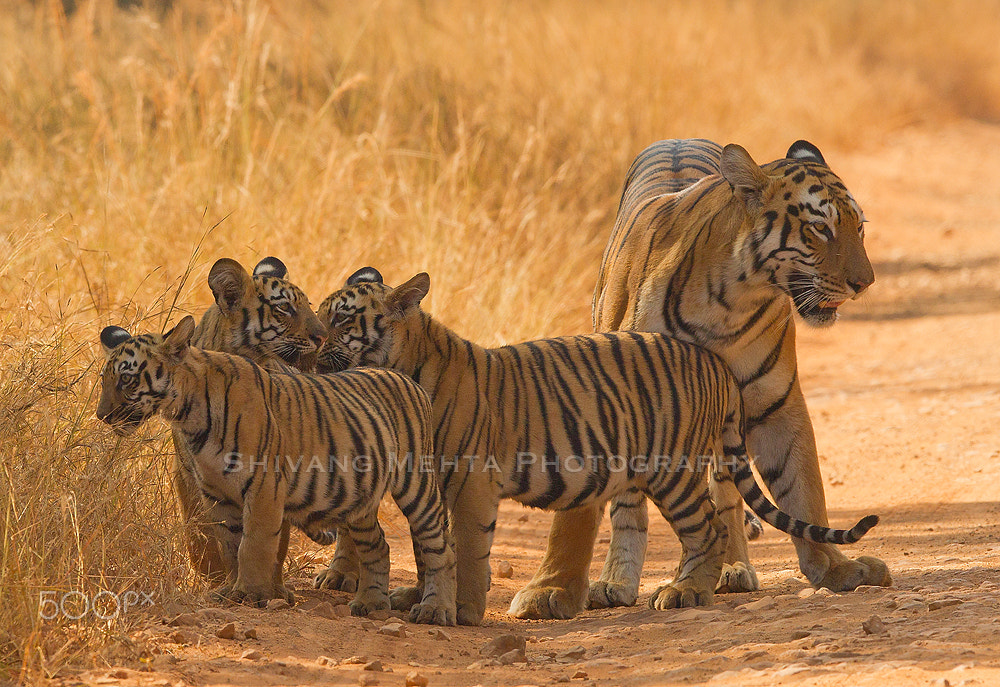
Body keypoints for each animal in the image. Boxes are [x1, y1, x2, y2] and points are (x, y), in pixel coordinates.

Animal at [97, 316, 457, 625]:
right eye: (104, 379)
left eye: (126, 379)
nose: (101, 416)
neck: (188, 414)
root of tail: (407, 379)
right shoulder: (218, 494)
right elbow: (230, 547)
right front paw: (231, 590)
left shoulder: (263, 486)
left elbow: (254, 544)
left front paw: (251, 594)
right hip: (360, 498)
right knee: (378, 545)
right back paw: (372, 603)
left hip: (417, 484)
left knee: (439, 548)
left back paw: (435, 610)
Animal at [171, 257, 329, 585]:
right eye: (285, 308)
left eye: (308, 305)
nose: (323, 337)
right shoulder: (191, 472)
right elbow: (204, 529)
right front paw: (214, 576)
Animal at [312, 268, 877, 625]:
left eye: (341, 320)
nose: (312, 346)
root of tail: (716, 364)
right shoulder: (436, 484)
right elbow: (434, 548)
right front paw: (424, 597)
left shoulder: (471, 481)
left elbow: (467, 548)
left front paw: (459, 613)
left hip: (673, 469)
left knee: (709, 530)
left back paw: (686, 592)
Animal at [509, 138, 892, 622]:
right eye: (820, 228)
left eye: (859, 228)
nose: (865, 283)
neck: (734, 299)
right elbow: (579, 513)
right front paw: (550, 590)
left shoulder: (775, 402)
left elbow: (802, 489)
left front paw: (835, 566)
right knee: (631, 503)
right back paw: (617, 581)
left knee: (723, 494)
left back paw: (728, 569)